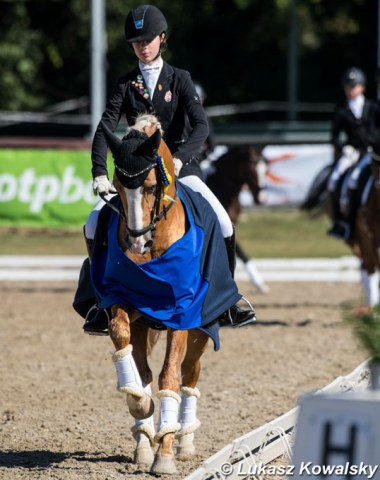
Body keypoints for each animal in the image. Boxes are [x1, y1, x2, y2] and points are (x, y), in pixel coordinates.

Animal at [90, 114, 240, 474]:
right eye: (116, 187)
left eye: (149, 186)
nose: (136, 242)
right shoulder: (123, 303)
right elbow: (125, 347)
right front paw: (139, 404)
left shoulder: (182, 317)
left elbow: (169, 376)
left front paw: (166, 455)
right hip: (145, 325)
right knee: (144, 369)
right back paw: (144, 440)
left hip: (202, 332)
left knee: (189, 375)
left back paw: (184, 440)